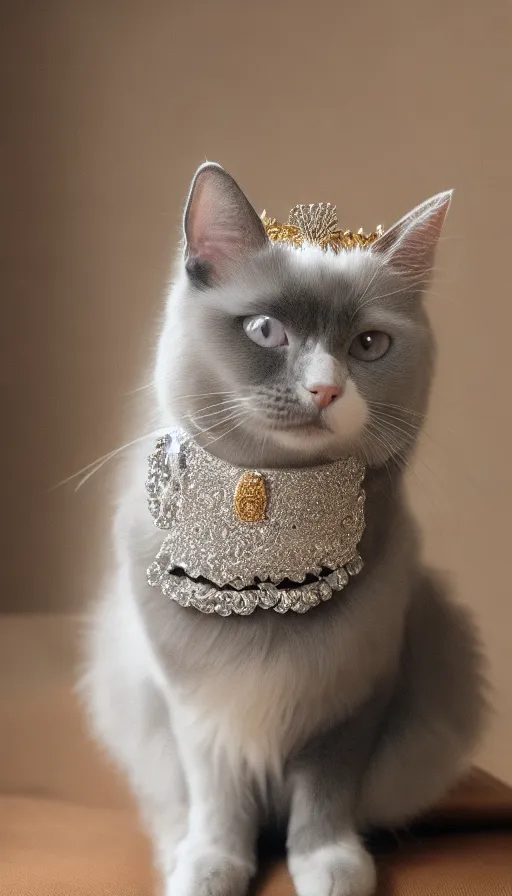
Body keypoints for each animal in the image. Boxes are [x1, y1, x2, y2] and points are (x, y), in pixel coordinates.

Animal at [81, 163, 488, 896]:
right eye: (267, 331)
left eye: (369, 344)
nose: (326, 389)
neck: (268, 539)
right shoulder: (195, 705)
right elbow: (217, 795)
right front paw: (212, 864)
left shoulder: (357, 698)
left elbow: (326, 793)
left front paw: (328, 862)